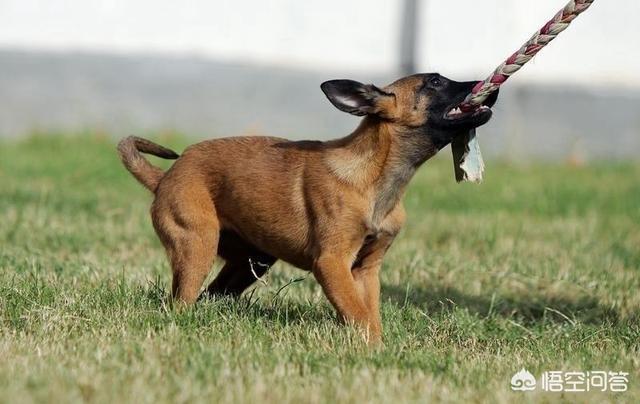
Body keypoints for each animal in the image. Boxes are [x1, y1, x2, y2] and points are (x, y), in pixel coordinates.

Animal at [120, 73, 500, 344]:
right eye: (435, 82)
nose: (489, 89)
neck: (377, 176)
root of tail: (166, 176)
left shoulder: (366, 270)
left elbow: (369, 314)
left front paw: (377, 348)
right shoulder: (332, 263)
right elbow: (358, 313)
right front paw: (371, 350)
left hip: (251, 260)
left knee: (210, 295)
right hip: (197, 244)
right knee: (182, 301)